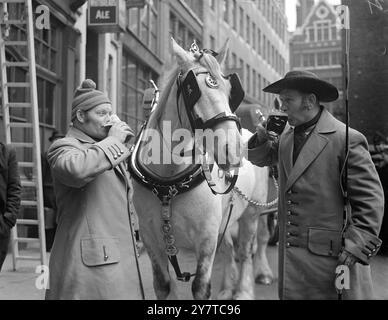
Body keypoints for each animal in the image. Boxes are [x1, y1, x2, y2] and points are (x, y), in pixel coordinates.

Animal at [129, 40, 272, 300]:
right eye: (191, 89)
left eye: (230, 90)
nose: (235, 150)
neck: (168, 183)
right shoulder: (152, 236)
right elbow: (163, 285)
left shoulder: (206, 237)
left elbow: (200, 287)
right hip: (226, 219)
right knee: (229, 249)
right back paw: (227, 289)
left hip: (252, 212)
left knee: (248, 249)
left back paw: (244, 289)